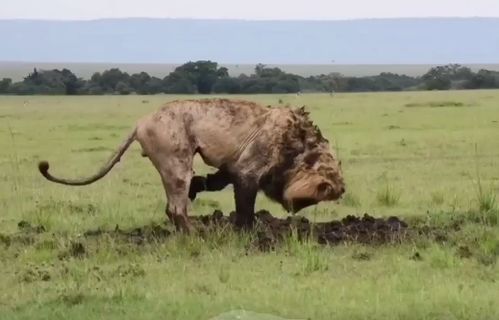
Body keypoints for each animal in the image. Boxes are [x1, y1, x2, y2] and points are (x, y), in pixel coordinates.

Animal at [39, 98, 346, 232]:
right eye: (312, 199)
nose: (294, 209)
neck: (300, 147)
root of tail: (140, 122)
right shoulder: (247, 171)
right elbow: (245, 209)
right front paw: (248, 234)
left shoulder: (232, 166)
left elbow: (216, 181)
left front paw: (199, 188)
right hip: (177, 164)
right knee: (175, 209)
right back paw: (197, 234)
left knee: (171, 208)